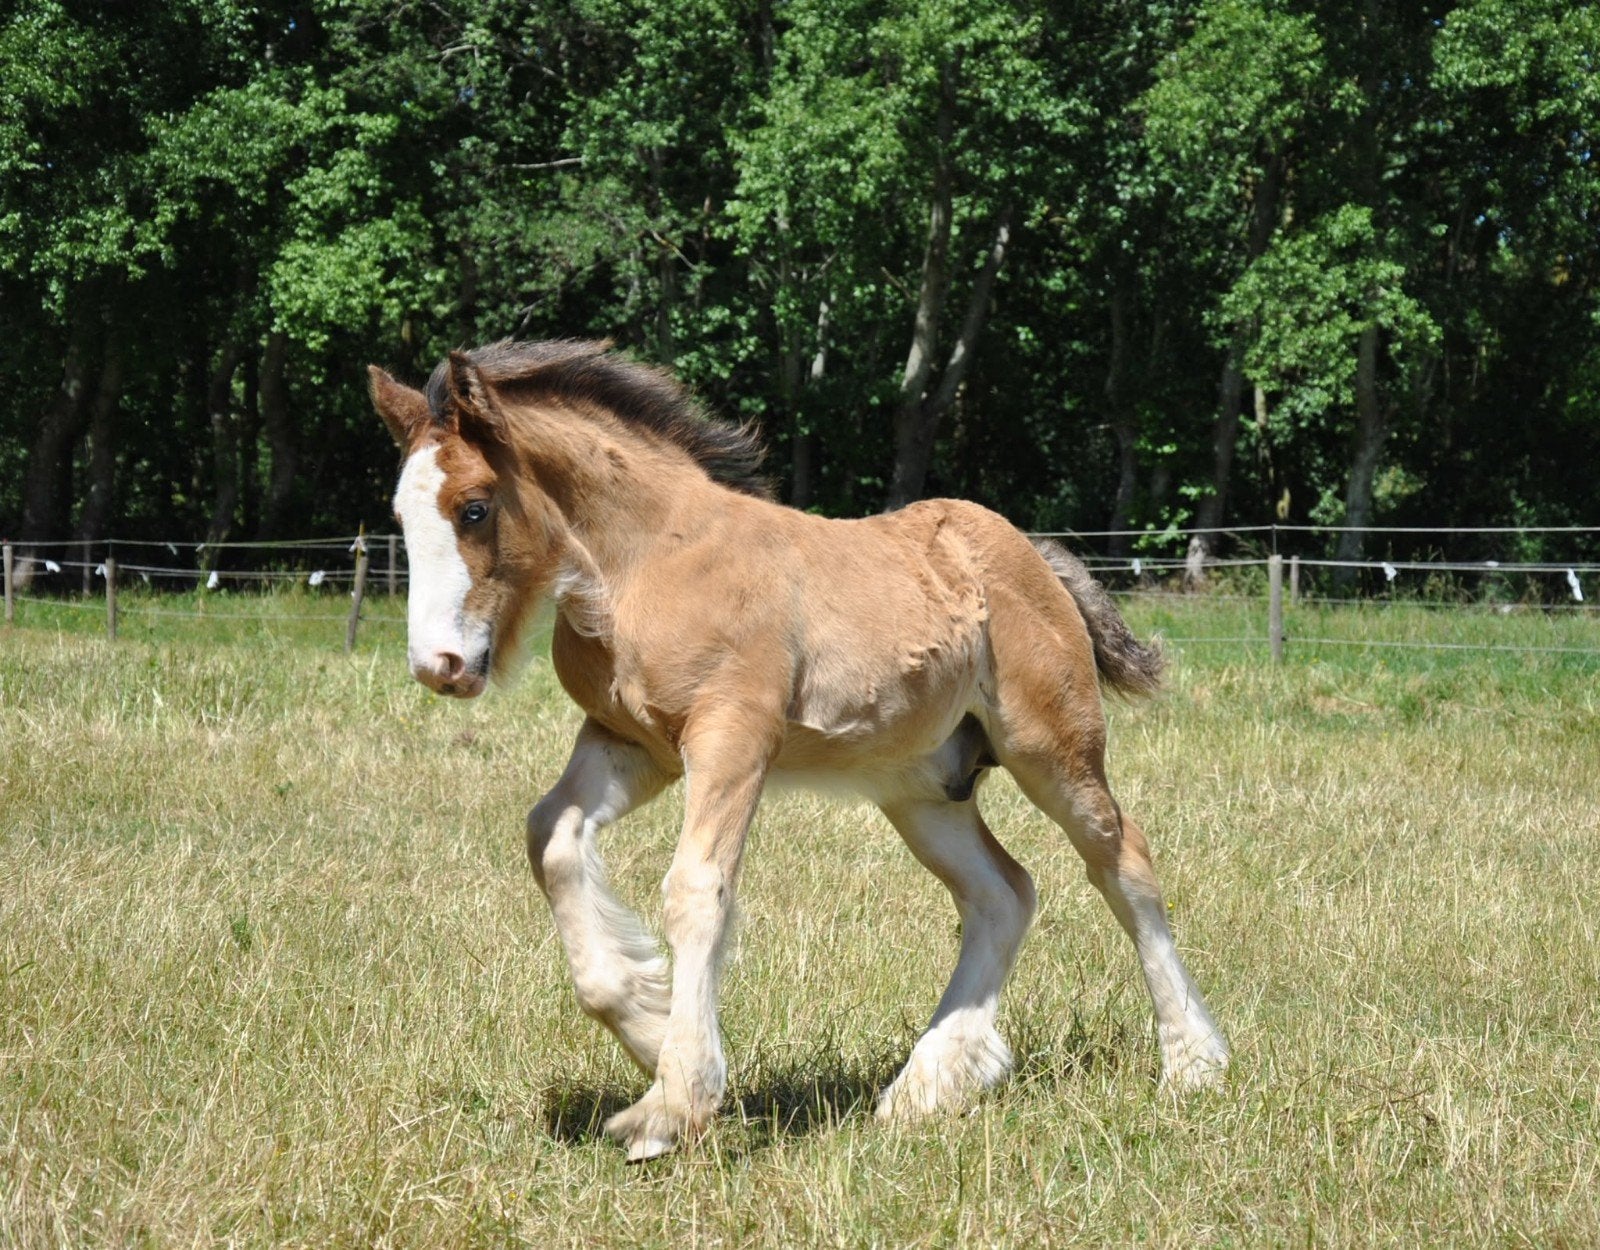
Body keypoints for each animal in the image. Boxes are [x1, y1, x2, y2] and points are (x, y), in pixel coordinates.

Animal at [369, 339, 1229, 1161]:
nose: (438, 666)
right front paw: (649, 1026)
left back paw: (1192, 1064)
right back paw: (926, 1086)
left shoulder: (732, 735)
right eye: (401, 518)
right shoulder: (631, 743)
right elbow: (549, 836)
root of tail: (1029, 554)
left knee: (1121, 862)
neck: (648, 563)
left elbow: (697, 890)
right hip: (918, 788)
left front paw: (673, 1104)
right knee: (1003, 892)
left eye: (474, 508)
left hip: (1050, 747)